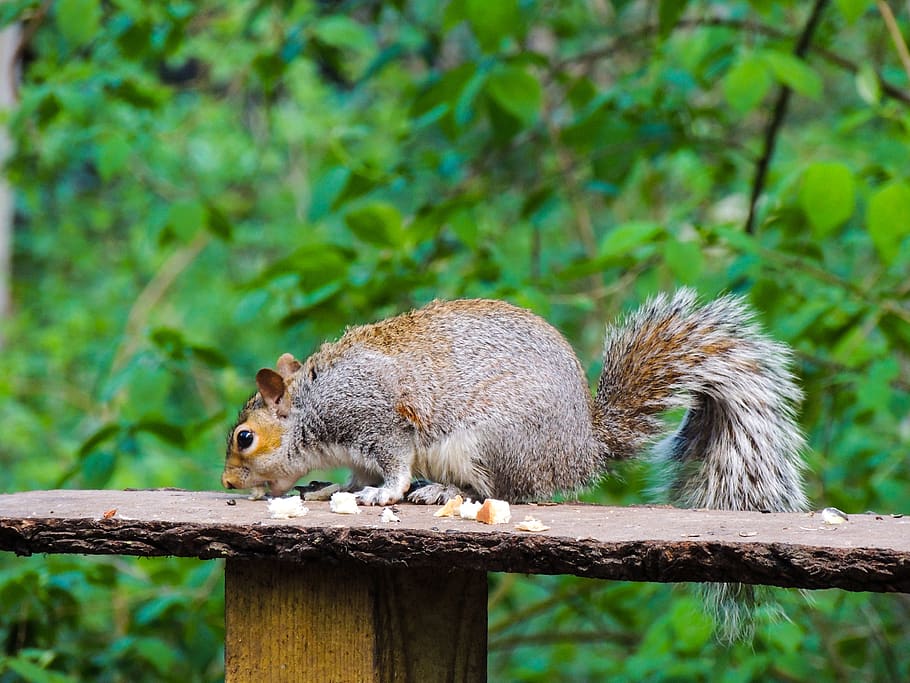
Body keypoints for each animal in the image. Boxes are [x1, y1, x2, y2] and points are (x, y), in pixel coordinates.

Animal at [224, 288, 808, 512]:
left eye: (245, 438)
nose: (228, 483)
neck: (312, 406)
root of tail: (581, 449)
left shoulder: (377, 417)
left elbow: (393, 468)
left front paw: (381, 494)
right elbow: (353, 475)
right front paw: (331, 490)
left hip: (490, 442)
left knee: (497, 492)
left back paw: (443, 491)